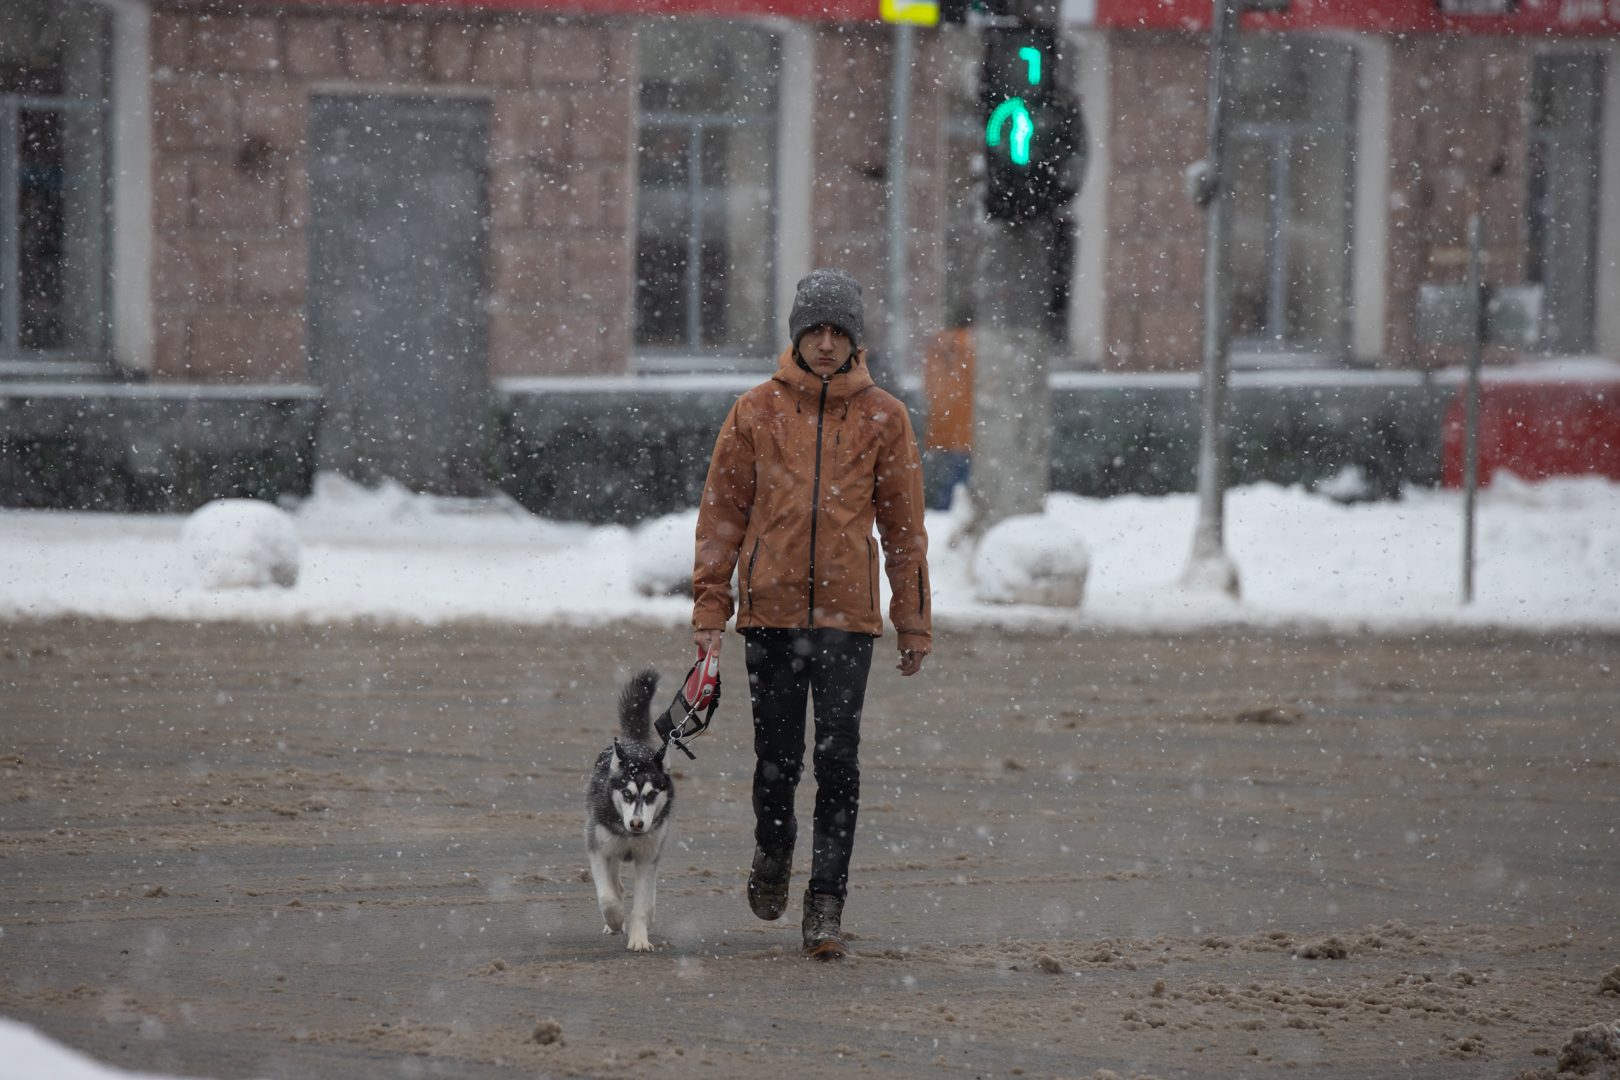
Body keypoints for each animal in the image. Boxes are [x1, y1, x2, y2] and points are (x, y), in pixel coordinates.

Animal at [586, 670, 673, 952]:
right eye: (627, 793)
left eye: (651, 795)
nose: (637, 824)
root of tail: (634, 743)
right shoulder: (598, 850)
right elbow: (607, 897)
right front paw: (615, 920)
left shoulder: (647, 858)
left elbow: (641, 905)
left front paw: (639, 938)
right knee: (615, 882)